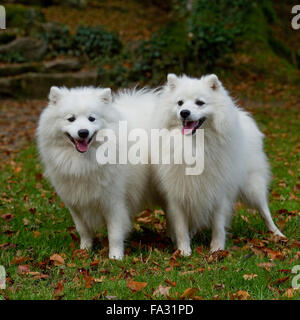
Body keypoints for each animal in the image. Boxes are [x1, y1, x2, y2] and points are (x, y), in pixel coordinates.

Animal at [37, 85, 162, 260]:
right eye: (71, 119)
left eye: (92, 119)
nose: (83, 132)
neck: (83, 162)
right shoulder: (75, 203)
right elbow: (83, 229)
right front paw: (85, 250)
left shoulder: (114, 202)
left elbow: (114, 234)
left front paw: (115, 257)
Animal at [151, 73, 284, 255]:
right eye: (180, 103)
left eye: (200, 102)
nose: (184, 113)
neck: (194, 145)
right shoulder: (177, 194)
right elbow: (181, 226)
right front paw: (184, 250)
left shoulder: (219, 192)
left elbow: (218, 224)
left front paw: (217, 248)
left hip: (252, 188)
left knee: (265, 211)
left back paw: (277, 233)